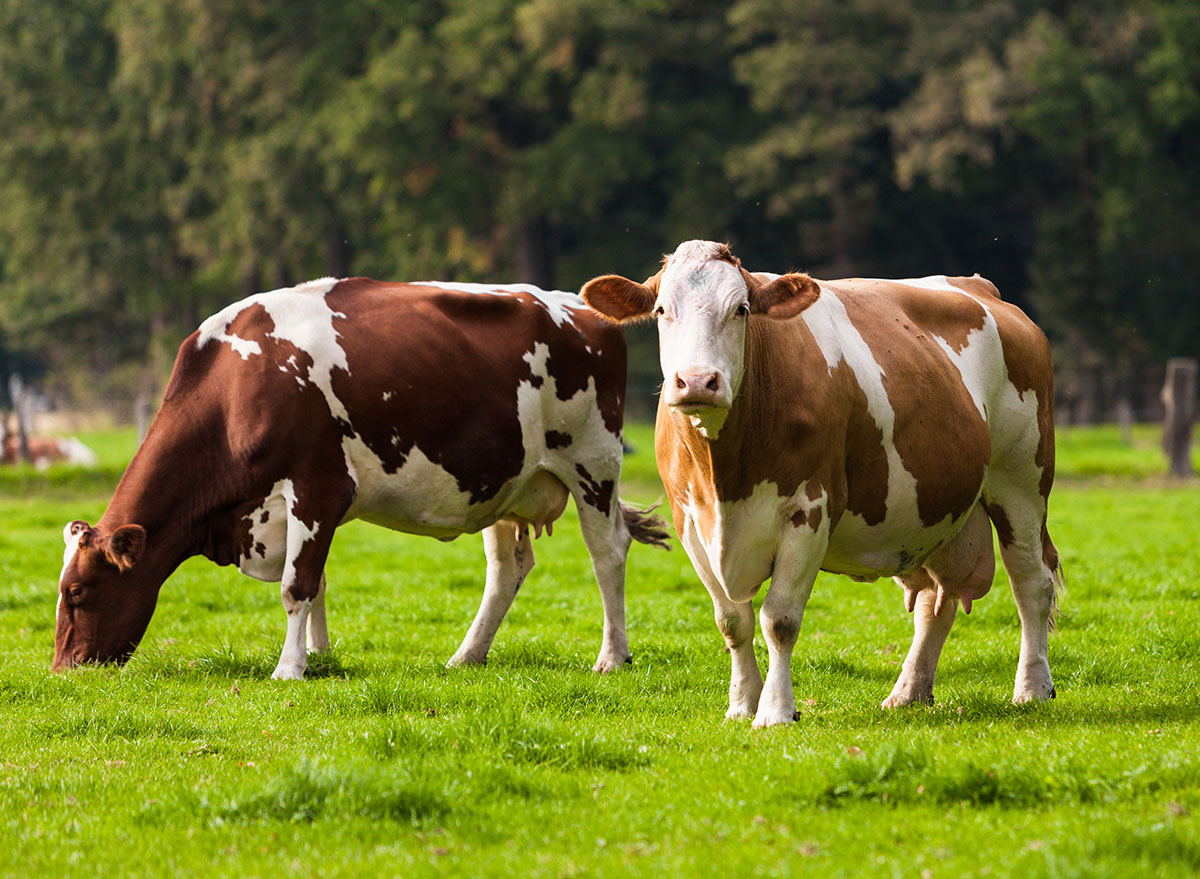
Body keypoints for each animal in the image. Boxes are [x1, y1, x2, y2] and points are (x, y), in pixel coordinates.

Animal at [54, 278, 667, 677]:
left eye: (77, 591)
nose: (64, 669)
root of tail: (585, 308)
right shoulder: (299, 508)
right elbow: (318, 580)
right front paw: (319, 656)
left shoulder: (317, 487)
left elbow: (297, 585)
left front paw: (290, 668)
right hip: (505, 482)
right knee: (507, 569)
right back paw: (467, 655)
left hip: (593, 463)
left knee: (608, 553)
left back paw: (612, 657)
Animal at [580, 240, 1060, 730]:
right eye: (661, 310)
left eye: (741, 309)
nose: (697, 381)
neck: (725, 478)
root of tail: (980, 287)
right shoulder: (691, 522)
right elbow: (732, 621)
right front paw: (741, 704)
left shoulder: (810, 511)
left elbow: (779, 619)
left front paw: (775, 711)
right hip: (935, 511)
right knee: (936, 599)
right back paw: (908, 692)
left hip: (1022, 481)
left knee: (1032, 582)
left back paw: (1032, 688)